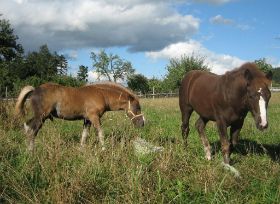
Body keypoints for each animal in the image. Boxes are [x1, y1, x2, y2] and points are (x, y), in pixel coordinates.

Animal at [15, 81, 144, 151]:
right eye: (138, 108)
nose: (142, 123)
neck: (102, 95)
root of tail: (34, 90)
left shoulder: (87, 119)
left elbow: (84, 135)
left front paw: (81, 150)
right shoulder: (94, 117)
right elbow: (100, 133)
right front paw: (104, 149)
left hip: (39, 116)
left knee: (27, 126)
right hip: (41, 117)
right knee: (32, 130)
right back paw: (31, 151)